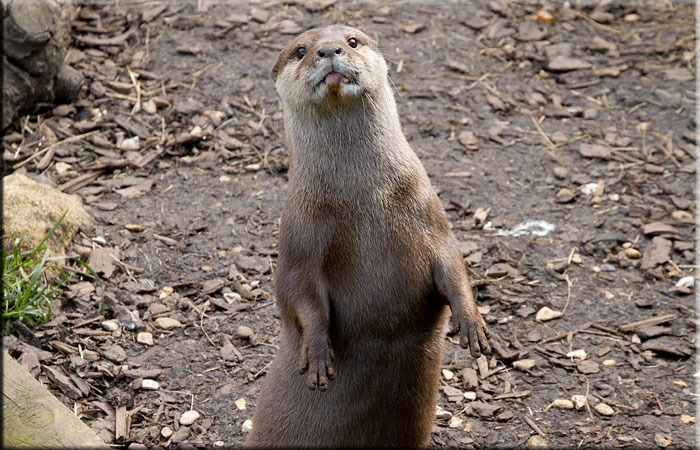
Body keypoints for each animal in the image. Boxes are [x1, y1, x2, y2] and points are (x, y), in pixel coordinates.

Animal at [245, 25, 491, 448]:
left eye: (352, 41)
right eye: (300, 50)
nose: (328, 51)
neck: (362, 195)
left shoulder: (429, 215)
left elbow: (452, 263)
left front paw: (472, 323)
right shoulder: (299, 233)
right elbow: (293, 291)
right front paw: (318, 352)